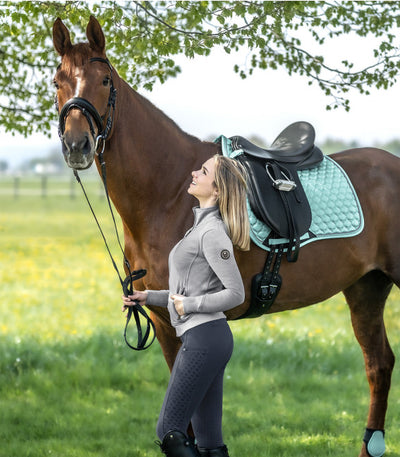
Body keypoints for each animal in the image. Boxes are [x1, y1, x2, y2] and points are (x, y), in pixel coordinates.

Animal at [52, 16, 396, 454]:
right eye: (58, 81)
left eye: (105, 79)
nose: (76, 145)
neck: (170, 191)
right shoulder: (165, 323)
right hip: (367, 287)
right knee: (379, 363)